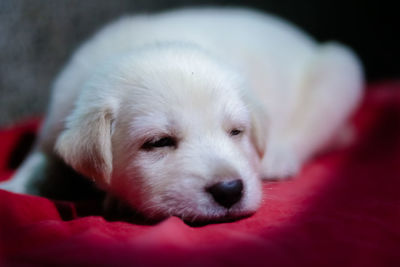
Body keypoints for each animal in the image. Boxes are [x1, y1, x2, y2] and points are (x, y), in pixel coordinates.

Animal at [0, 7, 362, 223]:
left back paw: (279, 157)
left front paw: (116, 199)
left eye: (236, 132)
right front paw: (13, 186)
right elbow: (38, 163)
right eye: (159, 142)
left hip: (339, 70)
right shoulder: (55, 123)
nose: (230, 190)